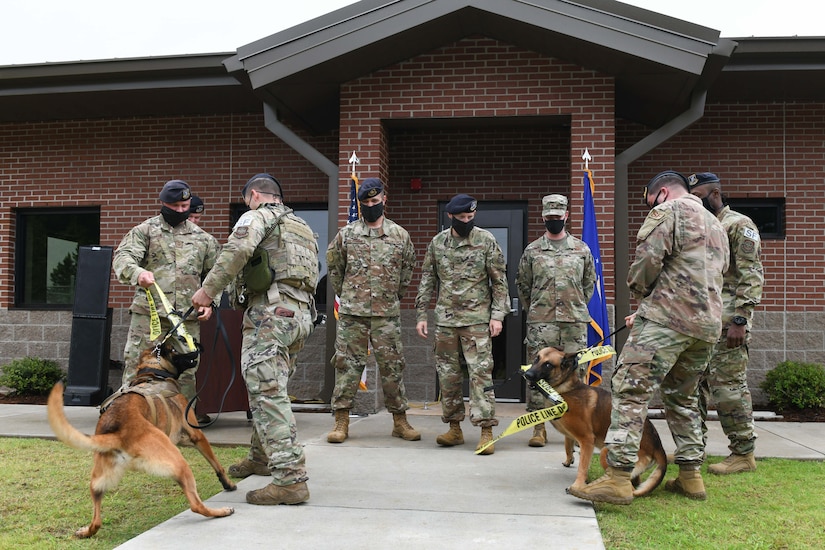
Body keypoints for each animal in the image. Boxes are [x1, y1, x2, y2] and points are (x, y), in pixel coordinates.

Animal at [48, 340, 237, 540]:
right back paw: (221, 511)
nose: (199, 345)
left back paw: (85, 532)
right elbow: (216, 464)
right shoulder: (196, 435)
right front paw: (228, 484)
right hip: (179, 463)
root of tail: (118, 434)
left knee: (97, 519)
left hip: (98, 482)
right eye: (176, 347)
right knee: (196, 505)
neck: (155, 373)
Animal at [524, 348, 668, 498]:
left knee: (630, 488)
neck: (565, 389)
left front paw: (577, 485)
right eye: (536, 359)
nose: (526, 375)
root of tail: (658, 445)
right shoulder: (570, 435)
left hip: (606, 453)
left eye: (548, 365)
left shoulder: (586, 440)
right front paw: (569, 460)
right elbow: (567, 446)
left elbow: (582, 466)